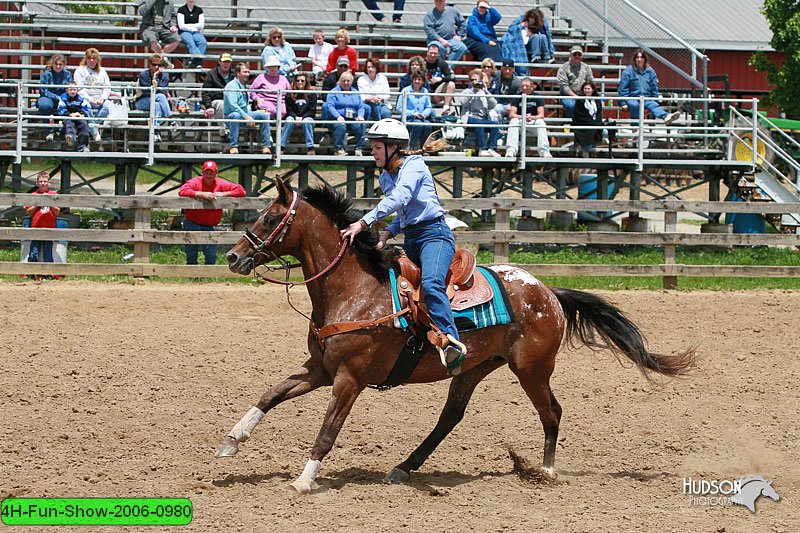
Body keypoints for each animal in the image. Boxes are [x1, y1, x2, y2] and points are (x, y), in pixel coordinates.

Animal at [216, 177, 696, 492]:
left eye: (272, 217)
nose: (233, 257)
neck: (355, 290)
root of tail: (548, 292)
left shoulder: (349, 378)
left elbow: (328, 429)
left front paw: (303, 480)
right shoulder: (319, 368)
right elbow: (270, 394)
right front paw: (231, 441)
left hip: (533, 369)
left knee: (552, 412)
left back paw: (545, 471)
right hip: (473, 370)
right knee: (450, 417)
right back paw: (404, 467)